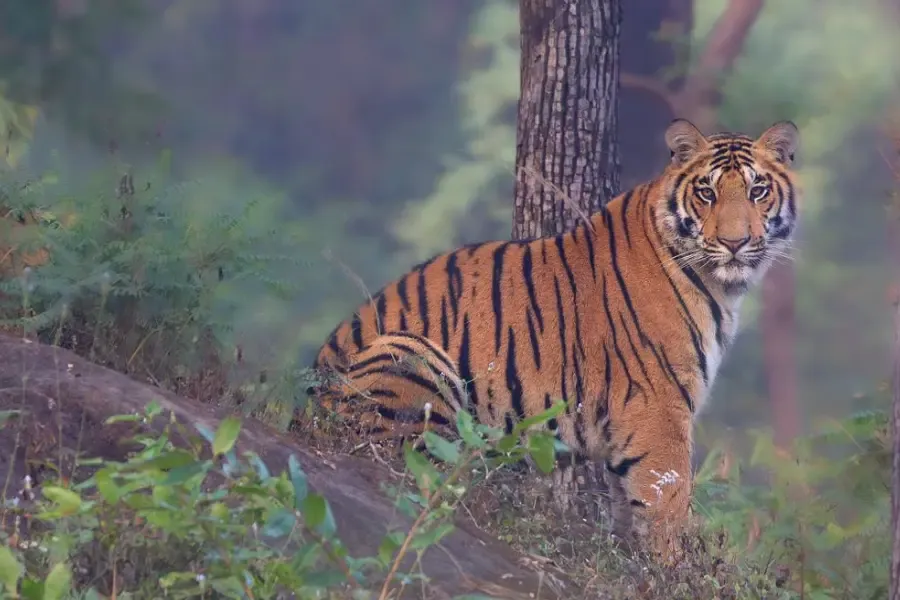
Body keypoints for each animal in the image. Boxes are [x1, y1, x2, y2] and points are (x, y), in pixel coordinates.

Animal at [301, 118, 801, 559]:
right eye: (706, 193)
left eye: (757, 191)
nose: (735, 243)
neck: (720, 286)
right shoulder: (659, 408)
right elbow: (667, 503)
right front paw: (673, 568)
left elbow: (629, 508)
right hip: (412, 355)